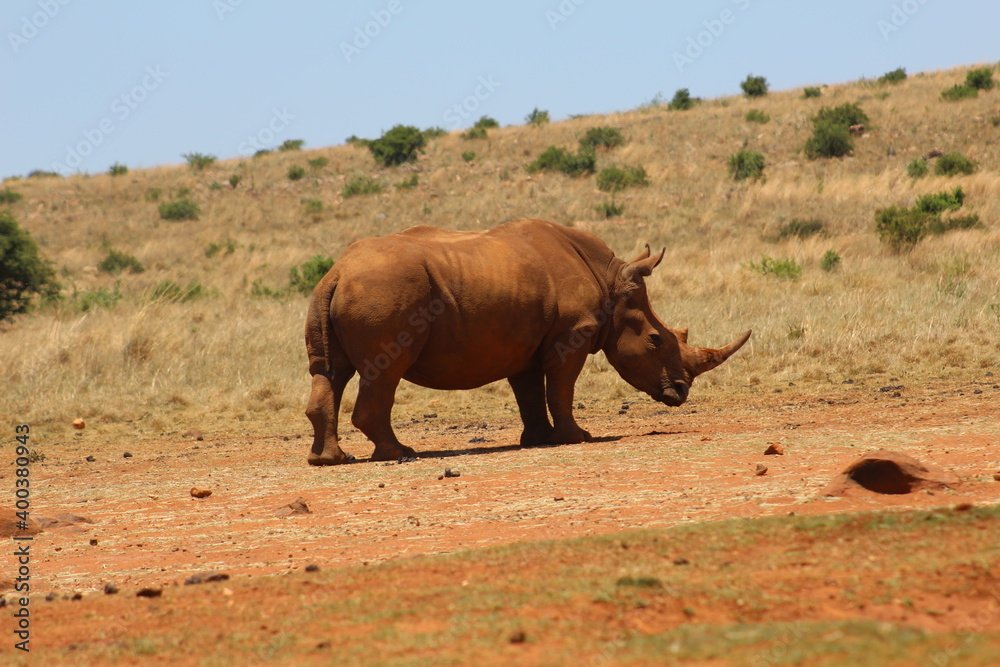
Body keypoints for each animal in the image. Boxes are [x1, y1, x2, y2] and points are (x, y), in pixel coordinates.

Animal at [304, 218, 750, 465]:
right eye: (656, 340)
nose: (681, 392)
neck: (608, 282)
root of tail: (337, 272)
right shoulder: (572, 334)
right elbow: (562, 388)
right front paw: (576, 437)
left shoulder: (524, 342)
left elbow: (530, 392)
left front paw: (536, 440)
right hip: (385, 291)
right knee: (384, 372)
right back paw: (399, 453)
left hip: (343, 293)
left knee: (331, 373)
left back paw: (330, 460)